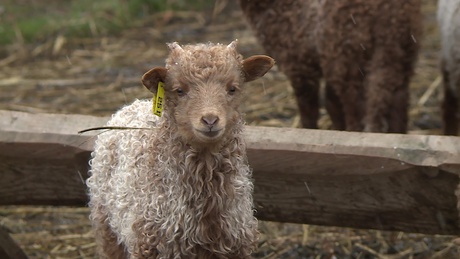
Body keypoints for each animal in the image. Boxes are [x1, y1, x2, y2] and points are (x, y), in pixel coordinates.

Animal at [239, 0, 422, 133]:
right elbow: (332, 104)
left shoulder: (299, 62)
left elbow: (309, 109)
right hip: (399, 49)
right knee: (397, 98)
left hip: (347, 54)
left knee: (358, 108)